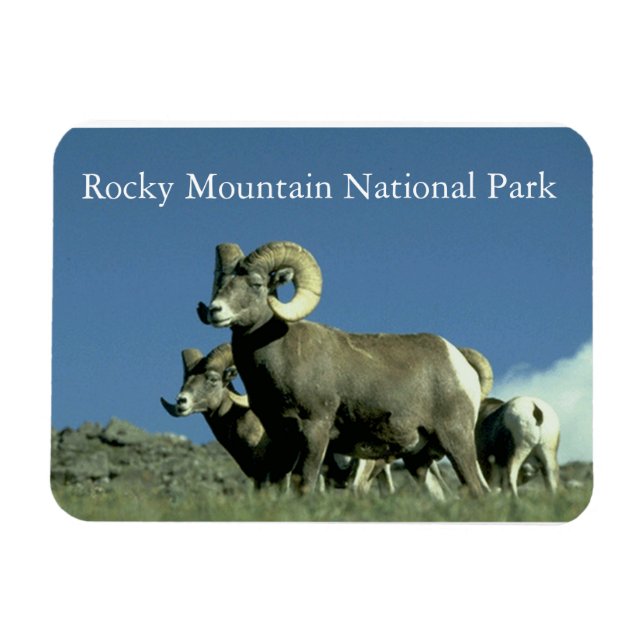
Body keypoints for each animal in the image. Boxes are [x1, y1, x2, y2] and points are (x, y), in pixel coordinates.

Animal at [197, 240, 492, 496]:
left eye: (256, 284)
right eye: (220, 284)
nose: (215, 310)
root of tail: (459, 364)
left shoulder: (315, 429)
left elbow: (305, 483)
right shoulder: (282, 438)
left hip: (456, 440)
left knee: (476, 490)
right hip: (419, 459)